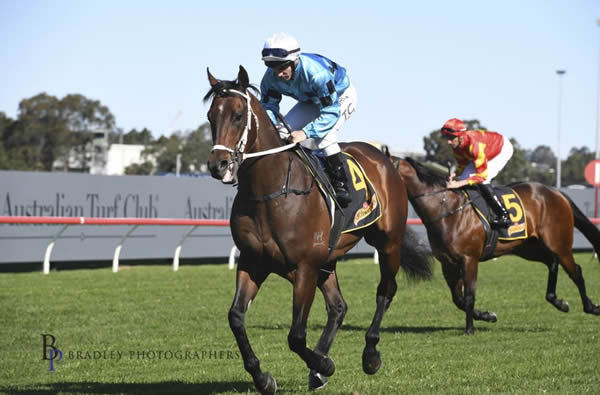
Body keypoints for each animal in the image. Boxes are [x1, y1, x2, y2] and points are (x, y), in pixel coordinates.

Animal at [205, 66, 432, 394]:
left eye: (237, 115)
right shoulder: (254, 261)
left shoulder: (305, 267)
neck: (271, 191)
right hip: (328, 259)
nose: (218, 164)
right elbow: (235, 317)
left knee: (385, 291)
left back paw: (369, 355)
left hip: (387, 242)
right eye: (211, 116)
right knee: (338, 307)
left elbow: (296, 335)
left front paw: (324, 365)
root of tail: (386, 157)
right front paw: (264, 377)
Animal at [394, 156, 600, 336]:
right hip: (526, 248)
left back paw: (591, 307)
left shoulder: (469, 259)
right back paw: (558, 301)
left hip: (559, 244)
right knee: (552, 262)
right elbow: (458, 299)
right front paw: (487, 315)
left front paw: (469, 329)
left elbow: (469, 295)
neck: (446, 209)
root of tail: (555, 192)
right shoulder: (448, 263)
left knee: (576, 271)